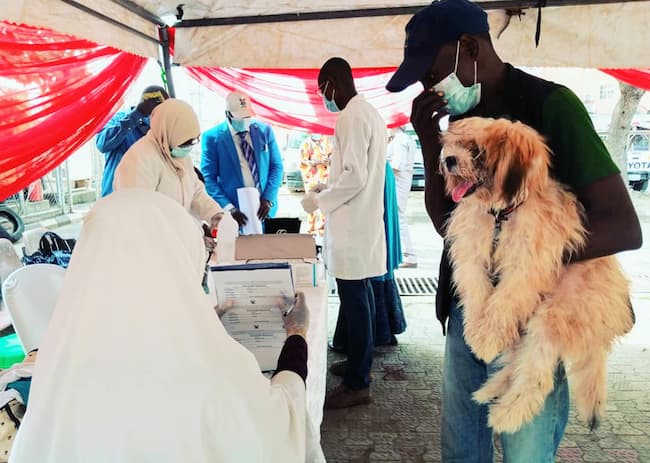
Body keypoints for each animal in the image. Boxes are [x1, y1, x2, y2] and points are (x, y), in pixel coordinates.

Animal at [438, 117, 632, 436]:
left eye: (476, 150)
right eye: (453, 144)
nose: (448, 160)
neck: (501, 214)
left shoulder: (528, 264)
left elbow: (504, 299)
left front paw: (487, 336)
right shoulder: (471, 252)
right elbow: (477, 290)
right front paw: (478, 331)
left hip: (553, 317)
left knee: (536, 377)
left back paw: (506, 414)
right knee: (516, 363)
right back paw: (489, 391)